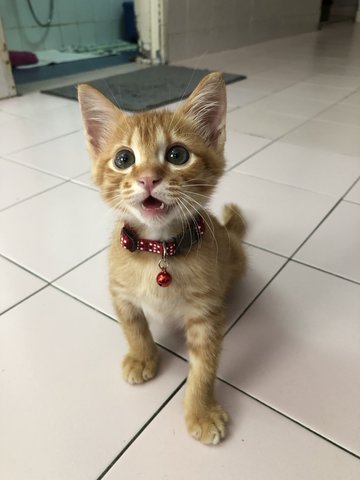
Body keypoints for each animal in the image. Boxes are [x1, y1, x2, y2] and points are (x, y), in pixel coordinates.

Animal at [78, 73, 248, 444]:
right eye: (123, 159)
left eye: (177, 154)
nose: (147, 178)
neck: (158, 250)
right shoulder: (120, 293)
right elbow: (134, 328)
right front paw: (142, 357)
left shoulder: (205, 313)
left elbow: (204, 365)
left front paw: (200, 411)